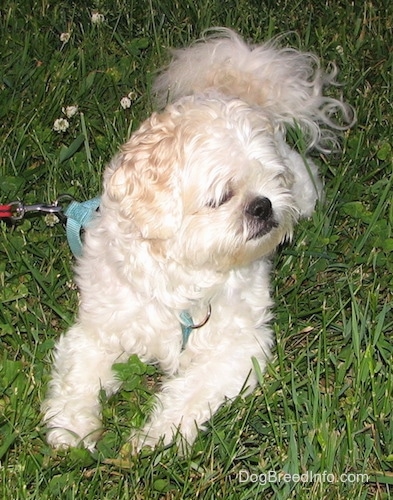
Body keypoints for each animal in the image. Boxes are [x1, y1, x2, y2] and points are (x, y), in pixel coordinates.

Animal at [43, 28, 352, 454]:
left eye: (274, 179)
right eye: (221, 196)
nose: (263, 205)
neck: (183, 277)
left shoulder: (240, 349)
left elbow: (189, 393)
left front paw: (155, 437)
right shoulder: (95, 331)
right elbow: (78, 380)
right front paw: (72, 429)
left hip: (306, 192)